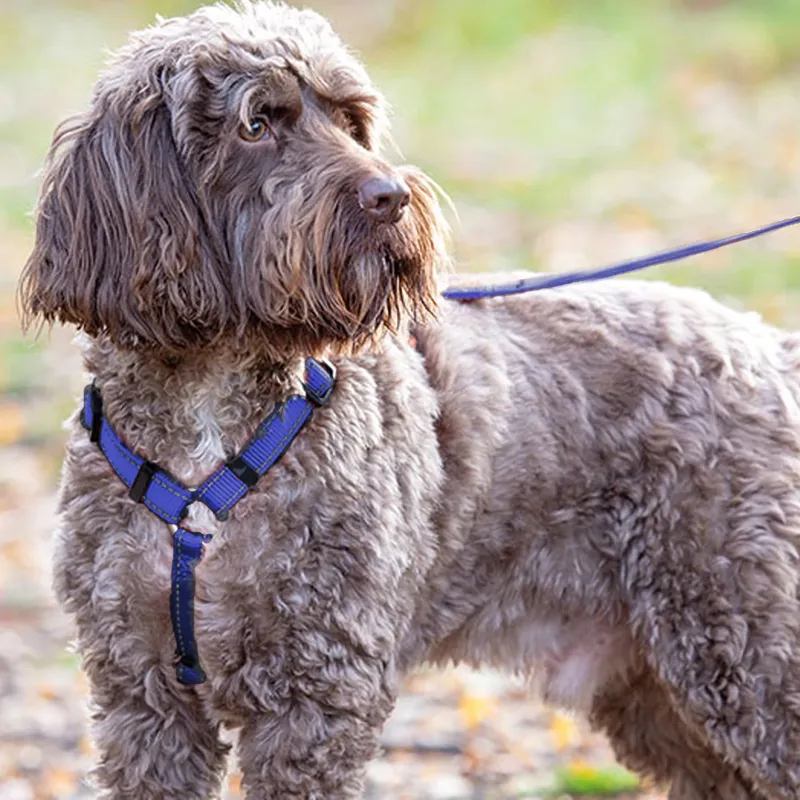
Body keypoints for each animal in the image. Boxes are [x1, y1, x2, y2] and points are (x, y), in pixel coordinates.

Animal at [18, 2, 800, 798]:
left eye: (352, 120)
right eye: (256, 124)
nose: (389, 196)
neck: (208, 425)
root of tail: (768, 344)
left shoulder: (317, 687)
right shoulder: (141, 693)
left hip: (745, 641)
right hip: (659, 688)